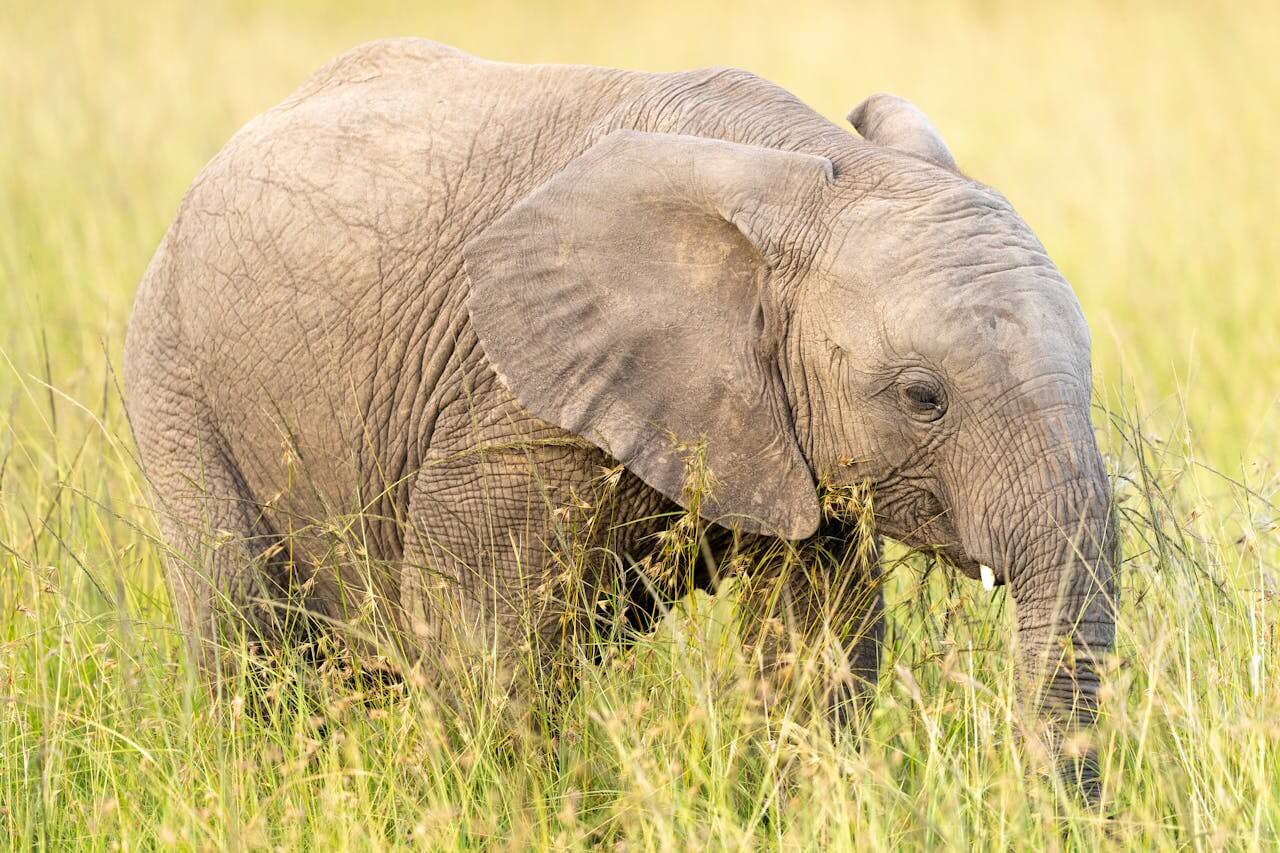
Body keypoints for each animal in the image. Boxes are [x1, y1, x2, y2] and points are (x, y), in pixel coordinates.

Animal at [124, 39, 1116, 797]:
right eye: (922, 397)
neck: (808, 175)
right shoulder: (509, 396)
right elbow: (479, 633)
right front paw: (519, 810)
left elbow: (819, 636)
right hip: (172, 377)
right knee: (241, 631)